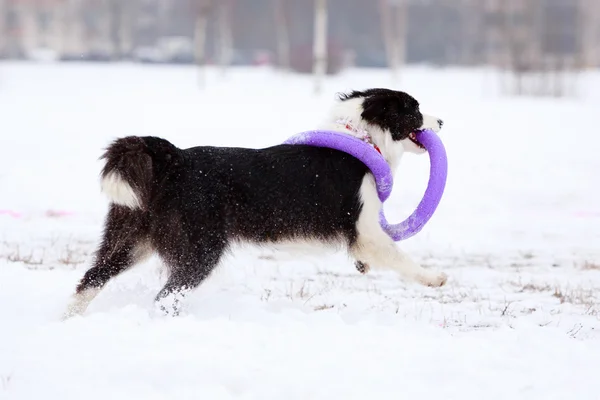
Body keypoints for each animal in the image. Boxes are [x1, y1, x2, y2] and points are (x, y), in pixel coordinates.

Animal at [64, 88, 446, 318]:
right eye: (415, 110)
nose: (442, 120)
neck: (361, 137)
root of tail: (173, 161)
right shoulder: (365, 228)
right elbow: (398, 255)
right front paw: (434, 278)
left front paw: (363, 266)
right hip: (199, 249)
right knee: (165, 297)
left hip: (129, 239)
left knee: (91, 278)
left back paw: (69, 318)